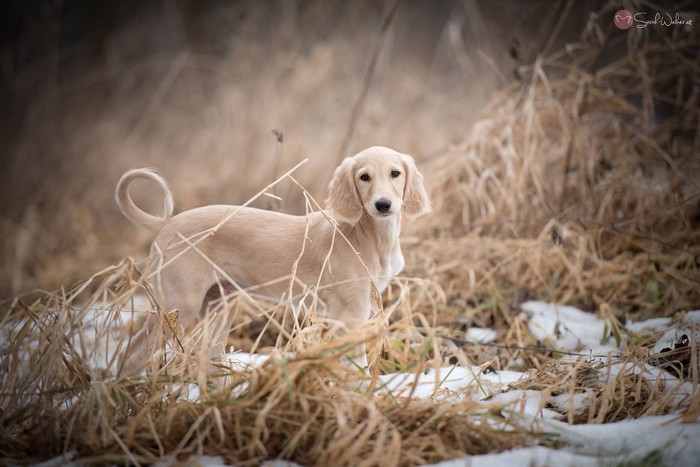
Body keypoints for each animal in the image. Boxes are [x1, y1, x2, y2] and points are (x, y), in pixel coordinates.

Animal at [117, 145, 430, 372]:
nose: (383, 205)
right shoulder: (350, 312)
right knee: (132, 353)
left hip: (221, 304)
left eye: (395, 173)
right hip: (180, 304)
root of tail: (166, 223)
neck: (368, 235)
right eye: (364, 177)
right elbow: (356, 361)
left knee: (210, 354)